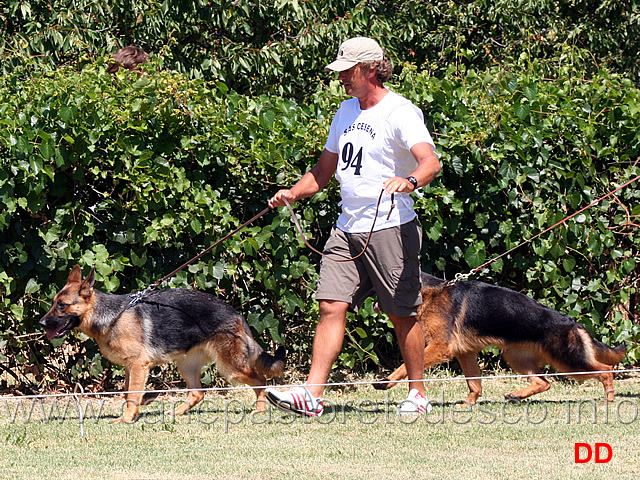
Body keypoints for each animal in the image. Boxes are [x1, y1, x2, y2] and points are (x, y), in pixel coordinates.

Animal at [39, 264, 284, 422]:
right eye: (53, 303)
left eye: (62, 305)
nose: (41, 323)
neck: (113, 315)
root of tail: (236, 314)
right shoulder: (130, 367)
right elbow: (127, 392)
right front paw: (141, 405)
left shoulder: (138, 365)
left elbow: (131, 394)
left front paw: (126, 419)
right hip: (186, 365)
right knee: (198, 393)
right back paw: (177, 413)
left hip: (230, 367)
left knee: (260, 380)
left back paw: (260, 410)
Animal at [372, 272, 628, 404]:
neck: (430, 293)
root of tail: (573, 322)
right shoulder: (465, 353)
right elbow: (474, 382)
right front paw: (470, 403)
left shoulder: (439, 347)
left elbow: (405, 365)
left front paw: (386, 381)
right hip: (516, 358)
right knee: (543, 382)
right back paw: (516, 395)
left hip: (569, 363)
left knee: (606, 370)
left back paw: (609, 399)